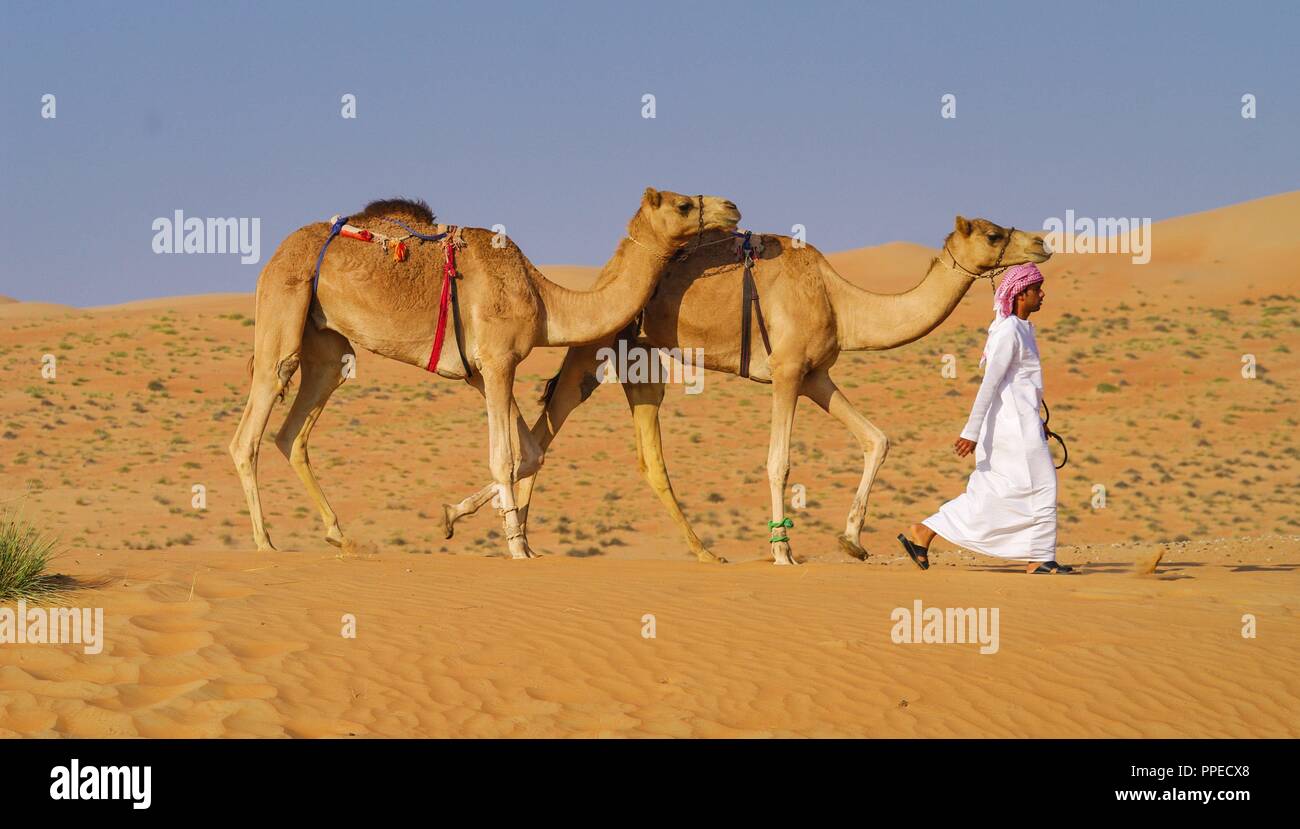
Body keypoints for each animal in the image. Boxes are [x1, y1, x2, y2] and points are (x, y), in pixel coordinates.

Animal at [228, 189, 743, 558]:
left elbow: (532, 453)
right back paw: (264, 543)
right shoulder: (497, 363)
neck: (543, 299)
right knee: (248, 432)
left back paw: (340, 536)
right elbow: (505, 458)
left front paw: (465, 518)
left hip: (327, 346)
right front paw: (515, 547)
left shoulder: (484, 371)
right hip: (282, 309)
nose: (732, 207)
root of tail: (275, 254)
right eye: (682, 204)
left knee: (294, 431)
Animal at [441, 215, 1050, 566]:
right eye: (994, 233)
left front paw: (852, 540)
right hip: (596, 344)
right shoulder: (787, 369)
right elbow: (779, 461)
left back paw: (487, 524)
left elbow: (876, 439)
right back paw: (501, 531)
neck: (842, 301)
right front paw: (782, 551)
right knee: (548, 424)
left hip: (632, 355)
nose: (1044, 242)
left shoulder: (816, 374)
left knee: (562, 437)